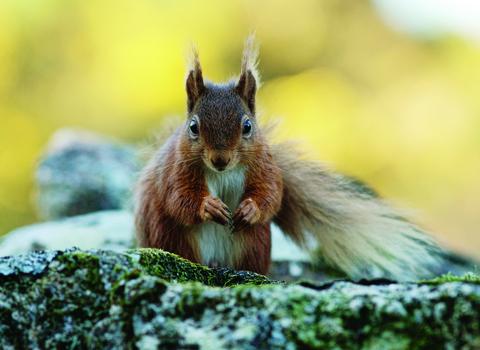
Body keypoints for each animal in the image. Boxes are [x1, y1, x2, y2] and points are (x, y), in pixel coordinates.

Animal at [135, 36, 442, 282]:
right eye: (193, 127)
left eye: (247, 126)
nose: (220, 160)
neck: (222, 173)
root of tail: (213, 262)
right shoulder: (175, 169)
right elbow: (178, 198)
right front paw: (209, 206)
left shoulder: (264, 165)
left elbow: (272, 194)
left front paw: (251, 209)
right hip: (172, 237)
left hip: (255, 243)